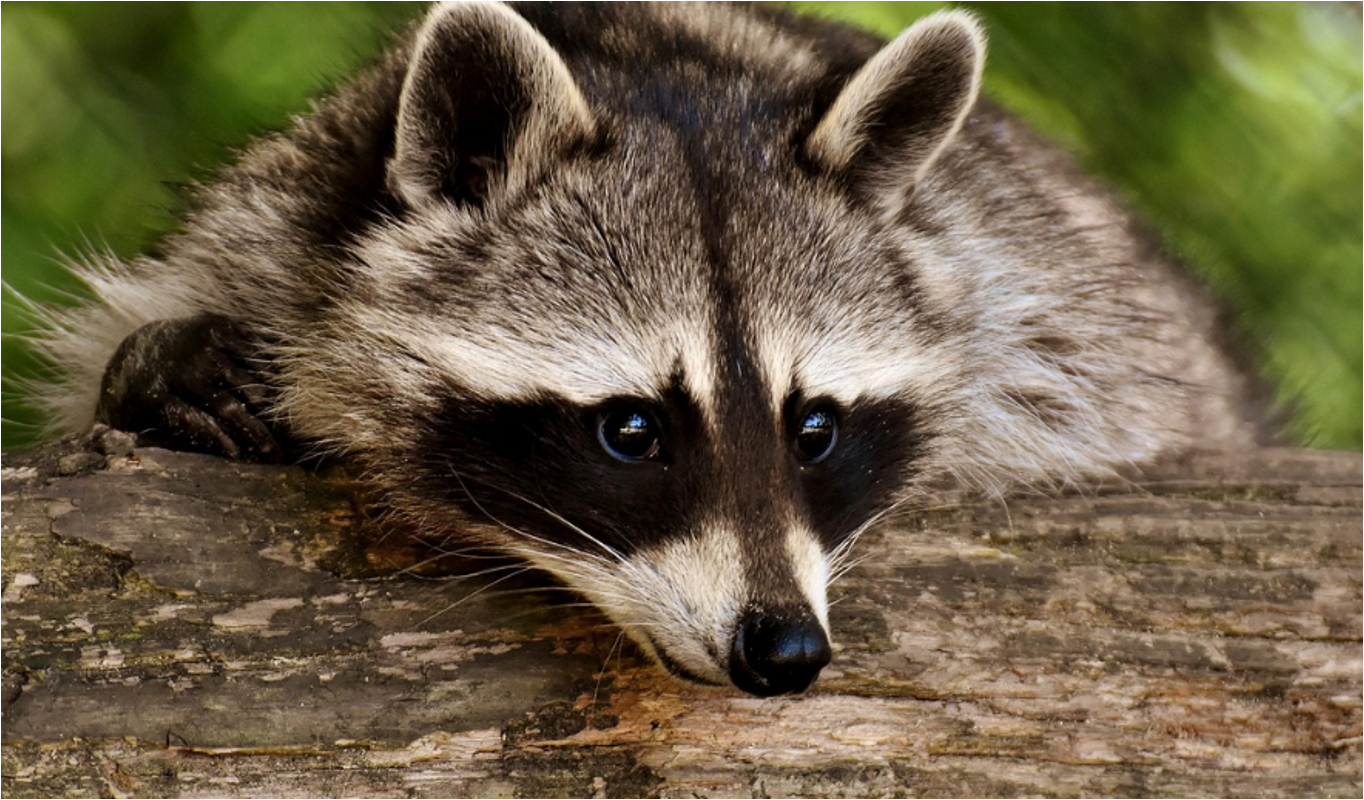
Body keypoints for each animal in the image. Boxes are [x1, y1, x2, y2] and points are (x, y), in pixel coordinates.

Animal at [29, 1, 1259, 696]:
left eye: (814, 426)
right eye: (631, 429)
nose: (784, 652)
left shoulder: (1040, 306)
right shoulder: (269, 223)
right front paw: (159, 371)